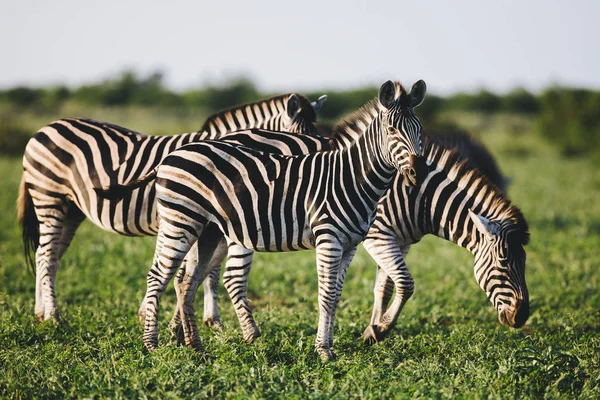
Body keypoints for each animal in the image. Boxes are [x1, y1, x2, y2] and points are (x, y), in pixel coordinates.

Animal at [17, 91, 328, 322]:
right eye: (302, 139)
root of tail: (44, 128)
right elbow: (202, 272)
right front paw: (202, 319)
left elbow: (204, 270)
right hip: (49, 198)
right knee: (46, 254)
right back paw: (53, 316)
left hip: (72, 210)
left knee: (48, 254)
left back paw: (41, 312)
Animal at [98, 79, 426, 360]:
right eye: (392, 130)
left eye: (419, 130)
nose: (417, 173)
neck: (351, 177)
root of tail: (172, 155)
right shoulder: (328, 238)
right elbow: (325, 294)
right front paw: (323, 351)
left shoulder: (350, 245)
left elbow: (335, 296)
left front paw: (330, 346)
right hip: (180, 220)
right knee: (158, 276)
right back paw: (151, 345)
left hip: (208, 231)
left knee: (186, 281)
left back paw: (195, 346)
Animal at [358, 138, 528, 344]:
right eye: (503, 263)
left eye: (524, 263)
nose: (522, 316)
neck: (418, 199)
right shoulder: (377, 236)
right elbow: (405, 283)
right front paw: (382, 327)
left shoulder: (399, 241)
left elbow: (385, 287)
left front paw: (373, 329)